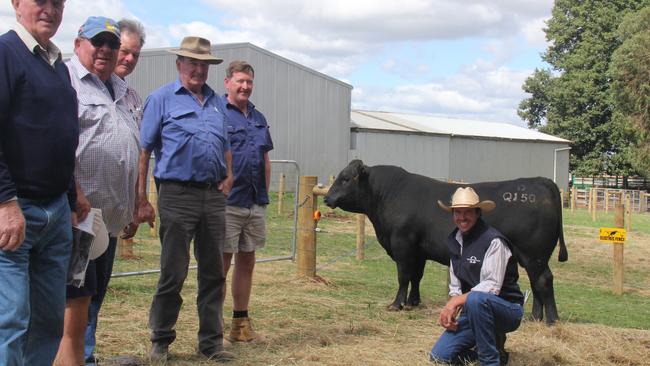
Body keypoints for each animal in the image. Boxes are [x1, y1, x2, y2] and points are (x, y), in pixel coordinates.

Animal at [322, 159, 564, 324]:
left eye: (345, 178)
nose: (326, 198)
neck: (387, 196)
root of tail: (540, 181)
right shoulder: (418, 251)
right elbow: (416, 277)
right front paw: (413, 302)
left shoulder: (403, 245)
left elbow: (403, 276)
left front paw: (397, 304)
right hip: (531, 257)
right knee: (536, 282)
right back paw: (534, 317)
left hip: (534, 254)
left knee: (543, 280)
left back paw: (551, 320)